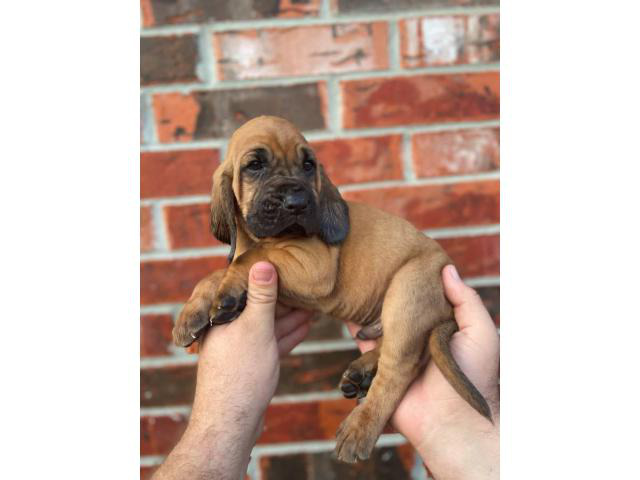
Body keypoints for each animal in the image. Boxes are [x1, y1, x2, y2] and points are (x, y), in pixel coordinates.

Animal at [172, 115, 492, 462]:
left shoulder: (312, 266)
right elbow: (217, 271)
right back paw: (363, 370)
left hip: (407, 292)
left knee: (401, 368)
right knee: (406, 353)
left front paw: (229, 291)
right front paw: (191, 315)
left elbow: (249, 257)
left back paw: (360, 428)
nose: (297, 203)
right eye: (254, 165)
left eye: (308, 165)